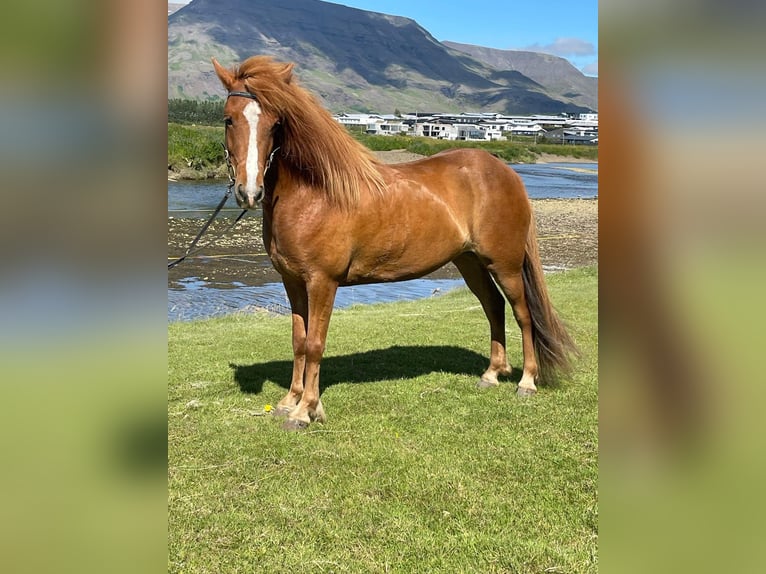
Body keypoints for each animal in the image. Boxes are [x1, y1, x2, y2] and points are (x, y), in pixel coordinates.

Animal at [212, 56, 577, 430]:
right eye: (229, 119)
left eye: (275, 124)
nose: (249, 192)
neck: (315, 194)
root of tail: (506, 171)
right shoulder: (293, 282)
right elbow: (299, 341)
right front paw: (290, 401)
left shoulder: (322, 283)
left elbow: (315, 344)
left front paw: (306, 410)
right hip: (470, 262)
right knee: (494, 306)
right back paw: (491, 374)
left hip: (505, 264)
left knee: (523, 314)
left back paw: (527, 382)